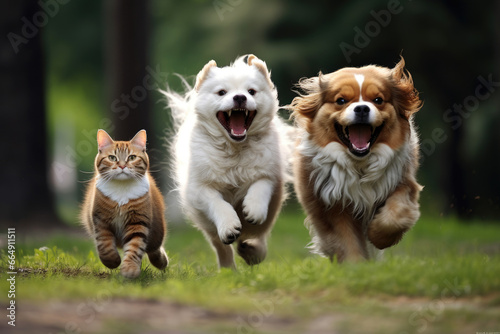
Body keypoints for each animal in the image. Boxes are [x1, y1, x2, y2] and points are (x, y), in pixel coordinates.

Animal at [81, 129, 168, 278]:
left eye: (132, 157)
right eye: (112, 158)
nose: (122, 165)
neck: (122, 189)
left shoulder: (138, 222)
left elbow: (135, 248)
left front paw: (130, 269)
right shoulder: (101, 222)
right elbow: (104, 246)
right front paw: (113, 261)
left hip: (157, 233)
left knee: (154, 249)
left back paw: (161, 262)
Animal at [164, 54, 290, 268]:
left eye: (251, 91)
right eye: (222, 92)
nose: (240, 97)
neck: (234, 149)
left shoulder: (270, 174)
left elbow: (260, 185)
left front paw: (253, 208)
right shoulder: (200, 187)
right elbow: (218, 204)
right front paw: (229, 226)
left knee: (258, 236)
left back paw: (252, 251)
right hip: (207, 225)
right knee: (222, 247)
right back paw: (228, 268)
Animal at [290, 57, 422, 260]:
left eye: (378, 100)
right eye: (341, 101)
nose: (361, 108)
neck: (360, 164)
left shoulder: (403, 182)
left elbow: (395, 216)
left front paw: (378, 236)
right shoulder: (332, 204)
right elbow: (347, 242)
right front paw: (356, 265)